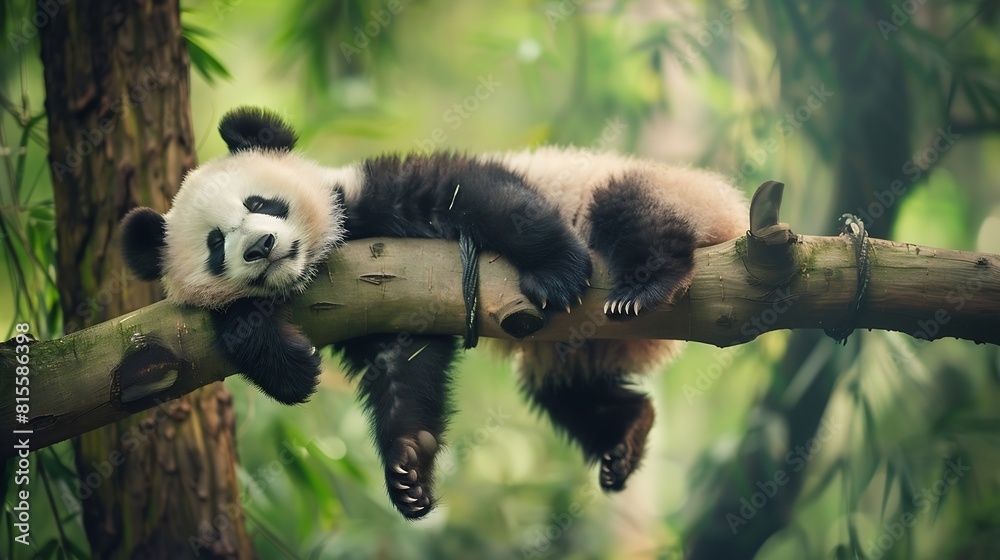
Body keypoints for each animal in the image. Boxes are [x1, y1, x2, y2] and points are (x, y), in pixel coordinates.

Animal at [120, 106, 747, 519]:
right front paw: (407, 470)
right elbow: (400, 366)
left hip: (665, 193)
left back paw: (645, 285)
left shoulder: (378, 194)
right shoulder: (371, 308)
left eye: (260, 202)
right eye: (215, 243)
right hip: (572, 352)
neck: (321, 262)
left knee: (629, 205)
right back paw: (624, 437)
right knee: (566, 391)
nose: (260, 247)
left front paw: (558, 270)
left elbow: (480, 195)